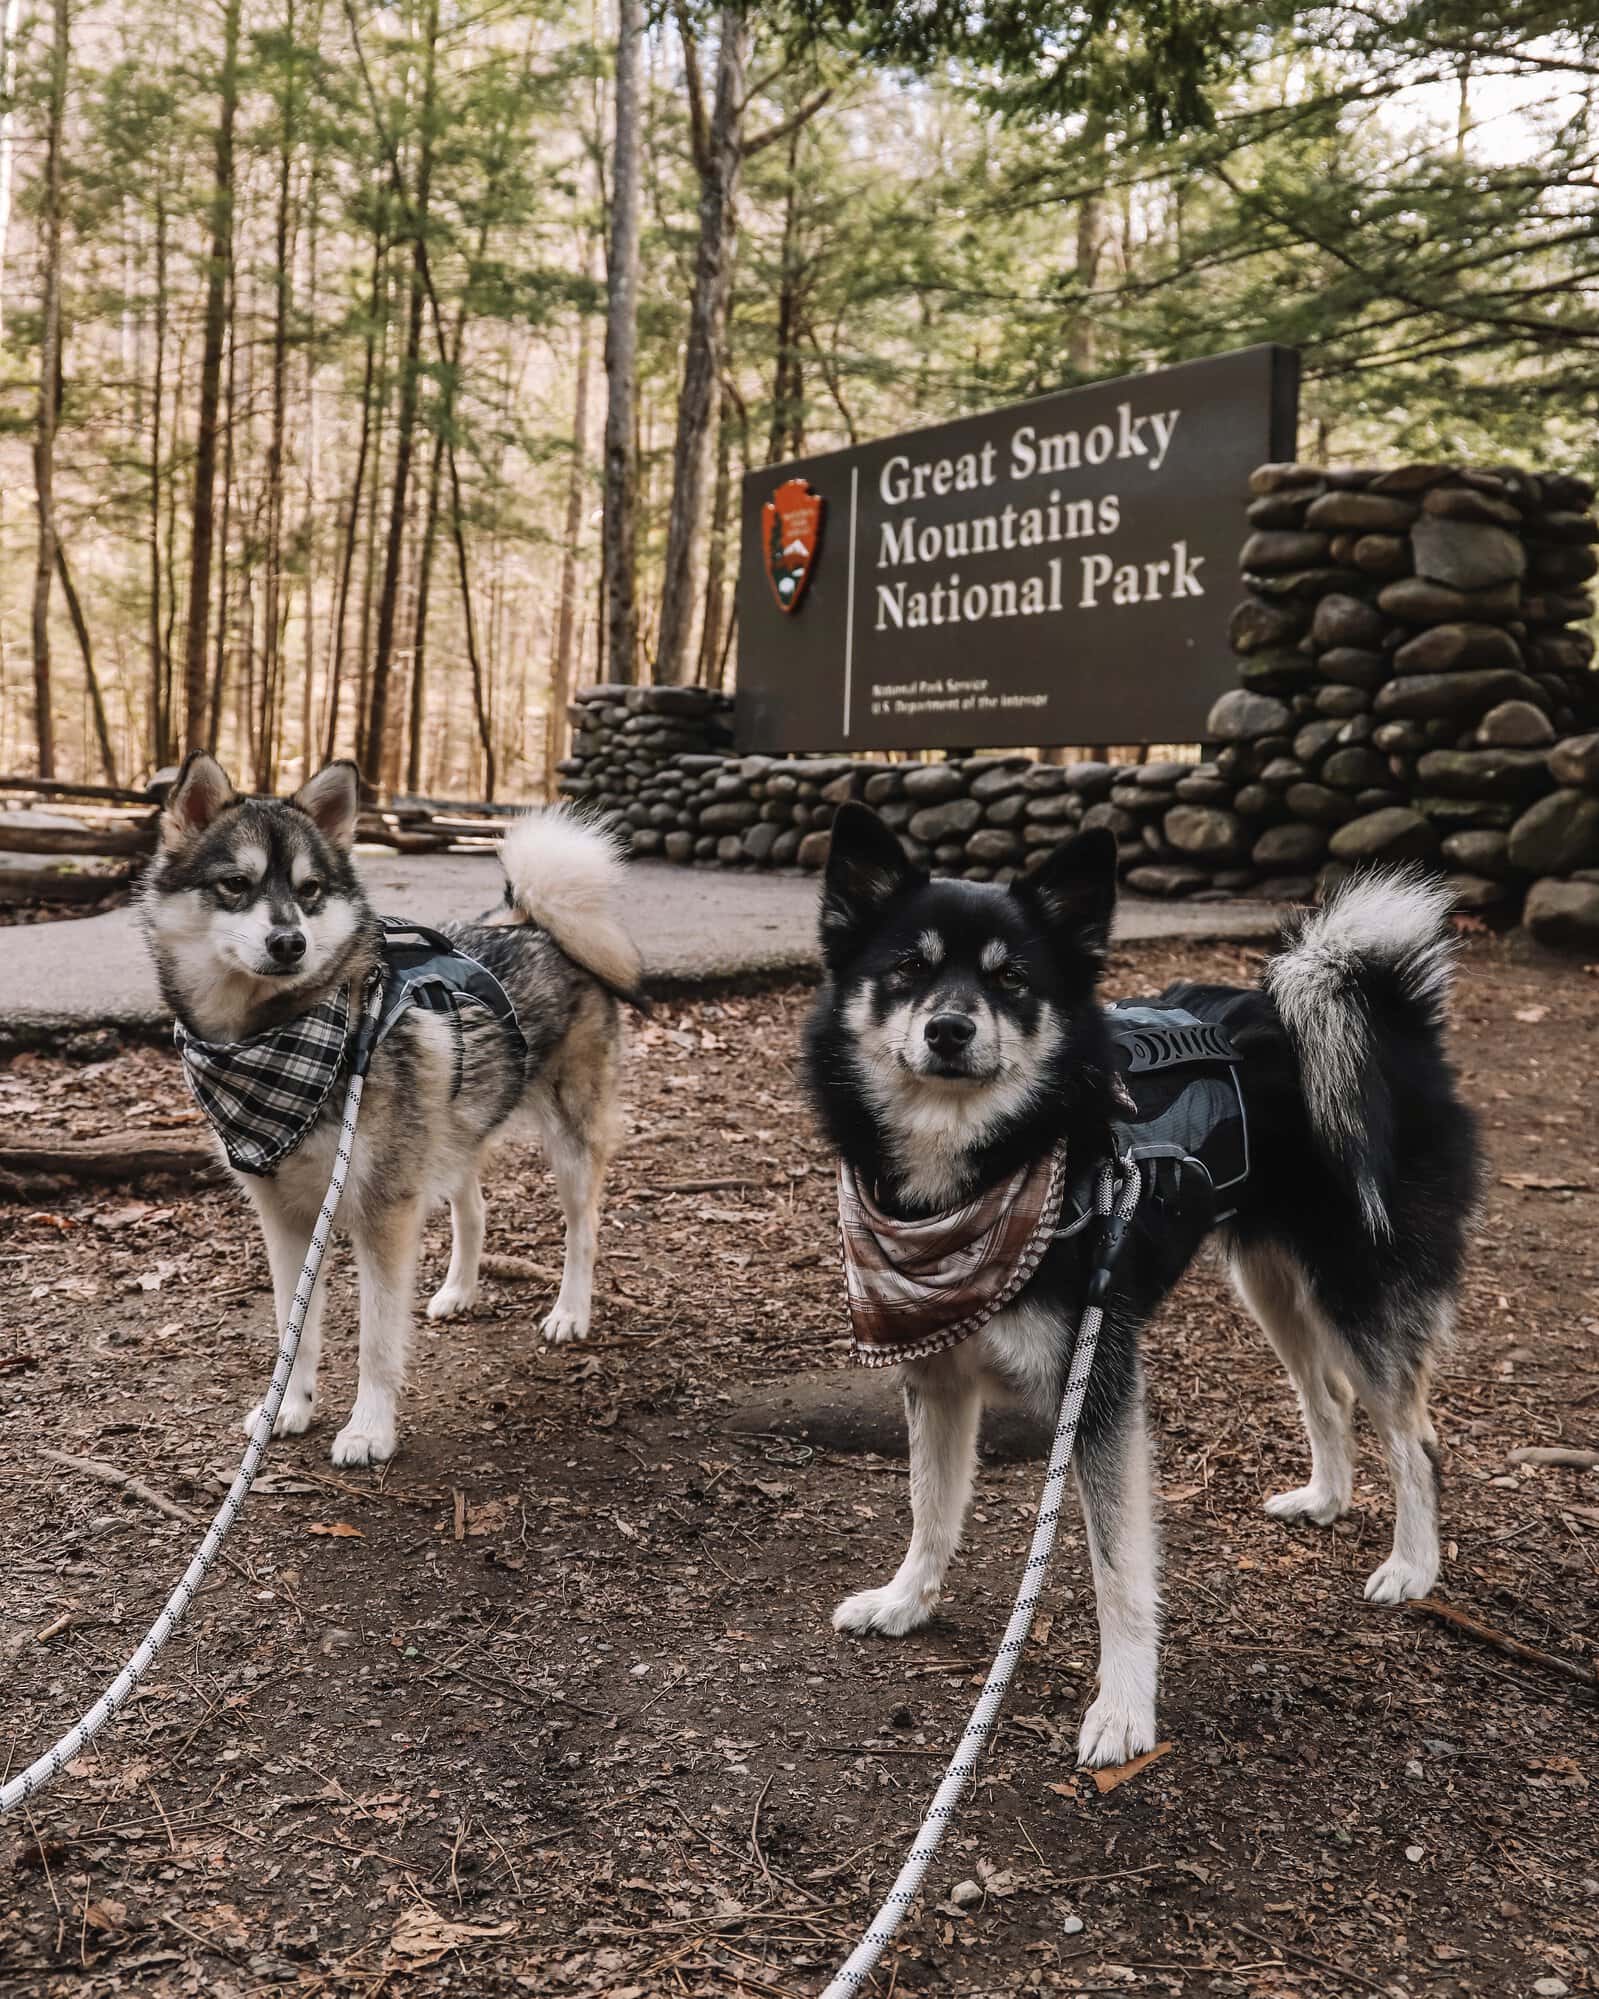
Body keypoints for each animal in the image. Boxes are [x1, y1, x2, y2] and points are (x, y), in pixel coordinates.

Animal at [137, 751, 635, 1471]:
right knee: (474, 1209)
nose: (288, 942)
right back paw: (460, 1291)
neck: (275, 1045)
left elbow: (375, 1338)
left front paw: (369, 1429)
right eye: (236, 884)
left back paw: (571, 1311)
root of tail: (535, 922)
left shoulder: (384, 1213)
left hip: (567, 1144)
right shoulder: (285, 1217)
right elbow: (294, 1324)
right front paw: (286, 1406)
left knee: (583, 1229)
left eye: (311, 889)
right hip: (450, 1136)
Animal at [807, 795, 1479, 1767]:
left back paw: (1412, 1566)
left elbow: (1118, 1569)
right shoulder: (933, 1366)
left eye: (1013, 981)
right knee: (1327, 1395)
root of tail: (1389, 1018)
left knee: (1414, 1434)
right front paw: (906, 1600)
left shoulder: (1098, 1385)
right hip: (1270, 1283)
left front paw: (1124, 1710)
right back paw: (1323, 1498)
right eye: (907, 968)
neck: (978, 1179)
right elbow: (930, 1502)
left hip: (1358, 1289)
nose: (949, 1029)